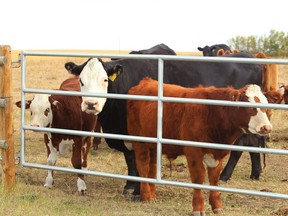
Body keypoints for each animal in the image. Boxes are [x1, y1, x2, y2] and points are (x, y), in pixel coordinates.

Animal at [16, 57, 108, 194]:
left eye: (47, 110)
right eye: (31, 111)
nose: (35, 126)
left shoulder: (77, 139)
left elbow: (77, 162)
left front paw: (81, 185)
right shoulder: (48, 139)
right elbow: (50, 161)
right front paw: (49, 182)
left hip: (87, 136)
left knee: (85, 154)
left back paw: (85, 170)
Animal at [126, 78, 272, 216]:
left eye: (265, 106)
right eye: (249, 106)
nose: (267, 127)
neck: (213, 113)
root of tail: (146, 81)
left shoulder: (217, 155)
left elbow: (214, 178)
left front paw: (217, 206)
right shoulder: (193, 152)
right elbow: (198, 177)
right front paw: (198, 208)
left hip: (153, 145)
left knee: (152, 167)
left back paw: (152, 195)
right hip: (140, 142)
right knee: (143, 165)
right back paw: (146, 196)